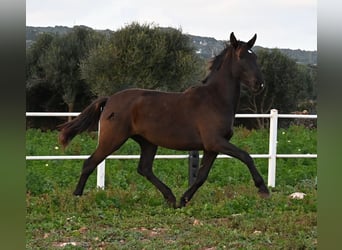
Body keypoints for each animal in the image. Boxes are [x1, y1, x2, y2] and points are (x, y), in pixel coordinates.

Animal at [58, 32, 270, 208]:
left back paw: (171, 198)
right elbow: (246, 156)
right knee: (90, 163)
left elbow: (201, 176)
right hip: (113, 139)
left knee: (144, 168)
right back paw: (76, 197)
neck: (215, 99)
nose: (259, 84)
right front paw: (263, 189)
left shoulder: (212, 147)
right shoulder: (215, 141)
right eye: (242, 56)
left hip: (148, 142)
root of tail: (109, 99)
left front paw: (184, 200)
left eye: (255, 57)